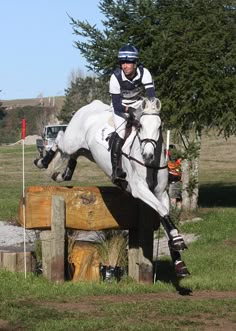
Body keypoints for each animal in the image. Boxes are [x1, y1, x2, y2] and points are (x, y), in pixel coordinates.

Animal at [34, 98, 190, 278]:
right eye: (140, 127)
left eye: (159, 127)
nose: (148, 155)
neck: (150, 165)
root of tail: (91, 105)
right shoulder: (140, 189)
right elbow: (162, 211)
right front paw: (178, 242)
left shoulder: (161, 194)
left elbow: (164, 217)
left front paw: (179, 261)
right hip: (72, 141)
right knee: (60, 138)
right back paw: (42, 162)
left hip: (87, 151)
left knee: (74, 154)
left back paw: (61, 175)